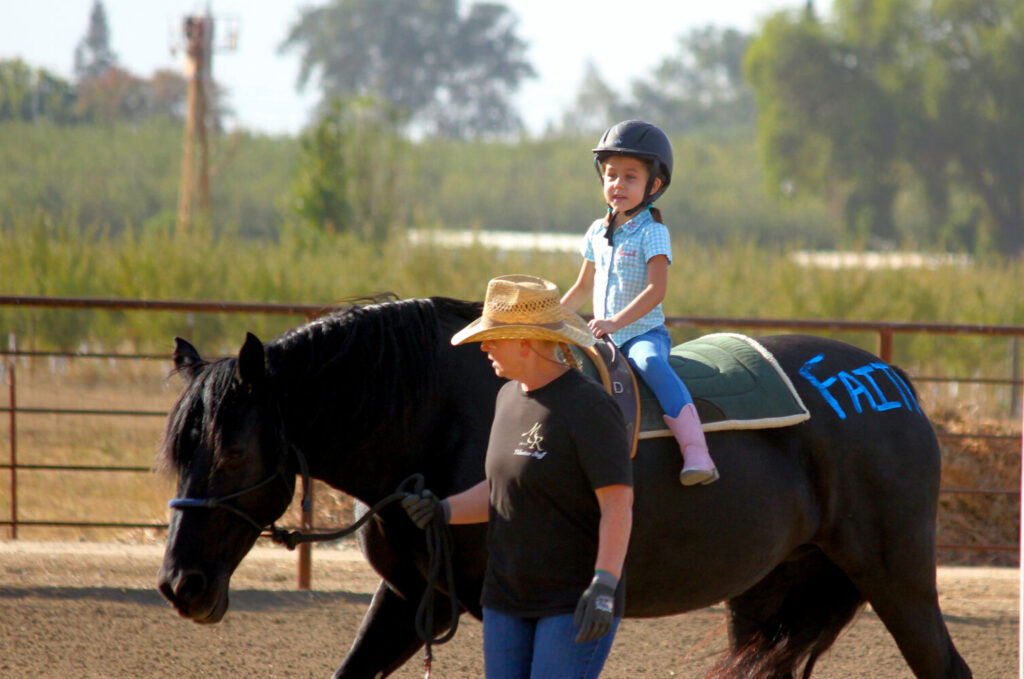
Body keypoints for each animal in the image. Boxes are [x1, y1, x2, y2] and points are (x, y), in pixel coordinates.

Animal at [156, 296, 972, 679]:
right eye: (179, 453)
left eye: (231, 451)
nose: (179, 585)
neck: (442, 413)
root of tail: (893, 383)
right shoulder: (414, 597)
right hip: (770, 595)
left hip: (897, 577)